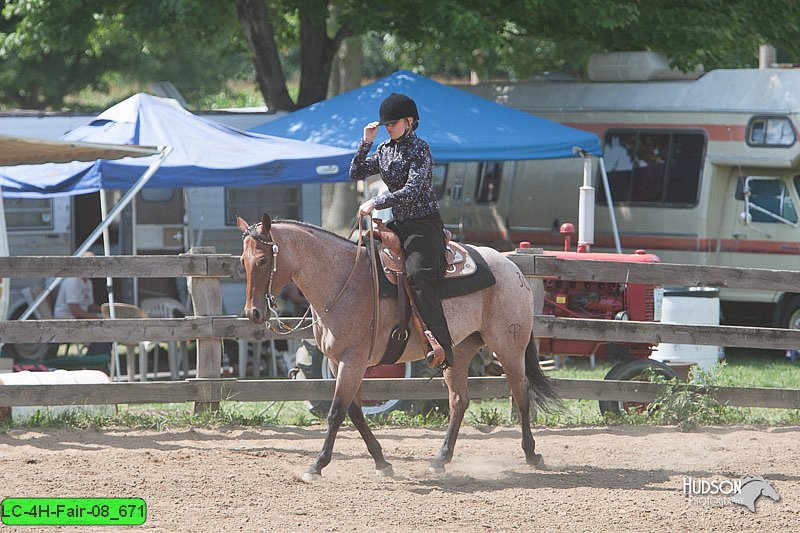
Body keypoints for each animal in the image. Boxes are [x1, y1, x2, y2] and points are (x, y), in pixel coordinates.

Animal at [238, 213, 556, 482]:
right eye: (243, 260)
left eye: (264, 260)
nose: (254, 313)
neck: (343, 280)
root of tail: (512, 267)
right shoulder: (339, 362)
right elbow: (355, 412)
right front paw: (382, 462)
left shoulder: (352, 361)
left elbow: (337, 412)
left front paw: (316, 466)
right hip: (460, 350)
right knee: (459, 401)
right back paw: (440, 459)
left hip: (509, 347)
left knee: (522, 394)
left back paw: (532, 453)